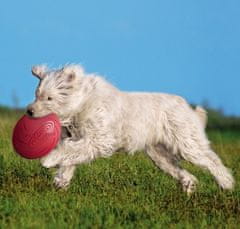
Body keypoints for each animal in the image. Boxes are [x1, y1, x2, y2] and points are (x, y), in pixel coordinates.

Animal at [26, 65, 234, 195]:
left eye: (49, 98)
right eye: (36, 94)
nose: (29, 111)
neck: (82, 103)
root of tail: (187, 108)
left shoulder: (99, 140)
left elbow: (68, 150)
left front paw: (48, 161)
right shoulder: (81, 139)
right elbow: (69, 156)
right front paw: (60, 182)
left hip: (187, 143)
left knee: (212, 160)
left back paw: (227, 185)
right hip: (160, 155)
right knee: (187, 174)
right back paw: (190, 189)